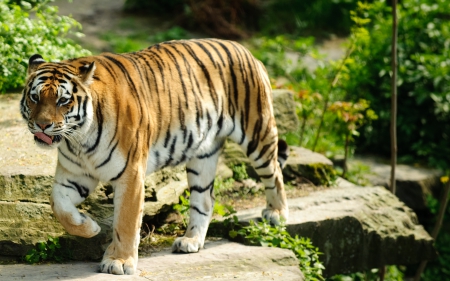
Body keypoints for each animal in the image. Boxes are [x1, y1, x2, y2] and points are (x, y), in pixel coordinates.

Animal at [19, 38, 288, 274]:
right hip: (203, 155)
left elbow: (126, 222)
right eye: (35, 97)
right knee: (205, 199)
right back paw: (190, 241)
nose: (42, 125)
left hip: (257, 133)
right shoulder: (74, 175)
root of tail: (247, 51)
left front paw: (119, 261)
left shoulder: (130, 175)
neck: (78, 140)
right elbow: (59, 205)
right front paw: (89, 226)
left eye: (63, 101)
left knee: (275, 173)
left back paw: (277, 214)